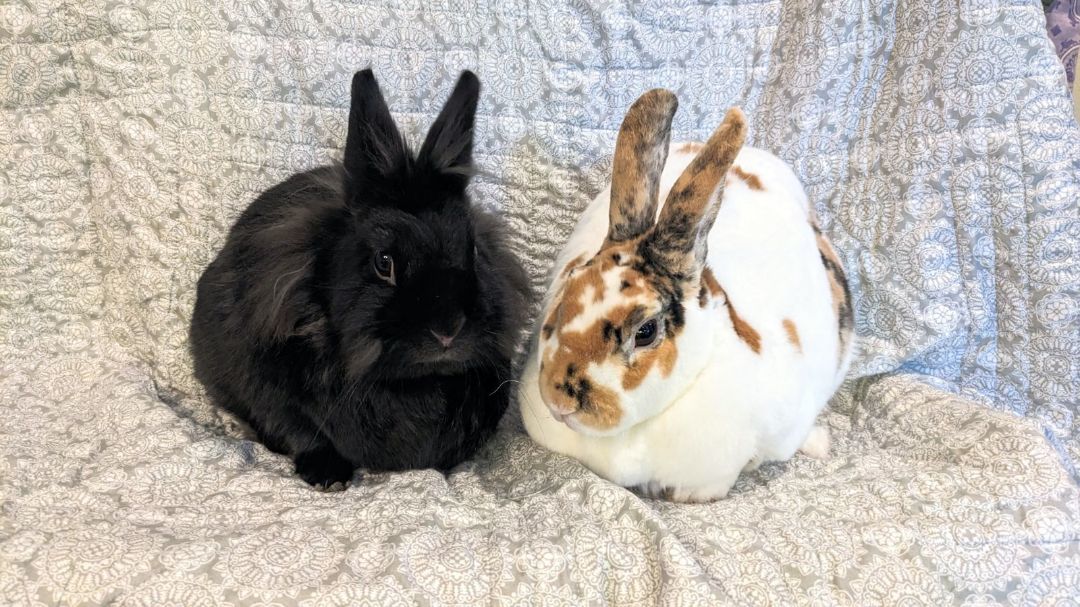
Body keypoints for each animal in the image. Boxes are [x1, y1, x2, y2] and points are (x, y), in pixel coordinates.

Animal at [195, 69, 535, 486]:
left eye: (473, 250)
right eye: (383, 262)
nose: (447, 331)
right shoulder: (264, 388)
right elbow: (297, 430)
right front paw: (328, 476)